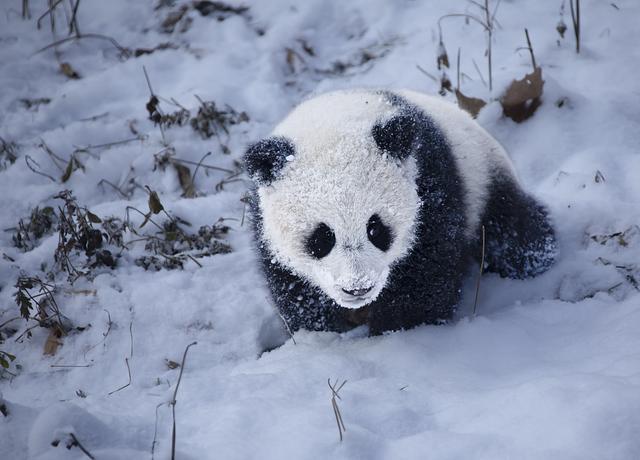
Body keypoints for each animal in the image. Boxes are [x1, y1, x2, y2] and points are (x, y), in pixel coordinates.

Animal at [245, 89, 556, 334]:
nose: (357, 288)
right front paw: (321, 330)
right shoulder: (265, 227)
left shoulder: (429, 186)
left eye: (375, 229)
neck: (334, 120)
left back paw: (534, 257)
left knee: (513, 231)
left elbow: (425, 274)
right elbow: (294, 287)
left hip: (485, 180)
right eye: (322, 238)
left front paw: (396, 330)